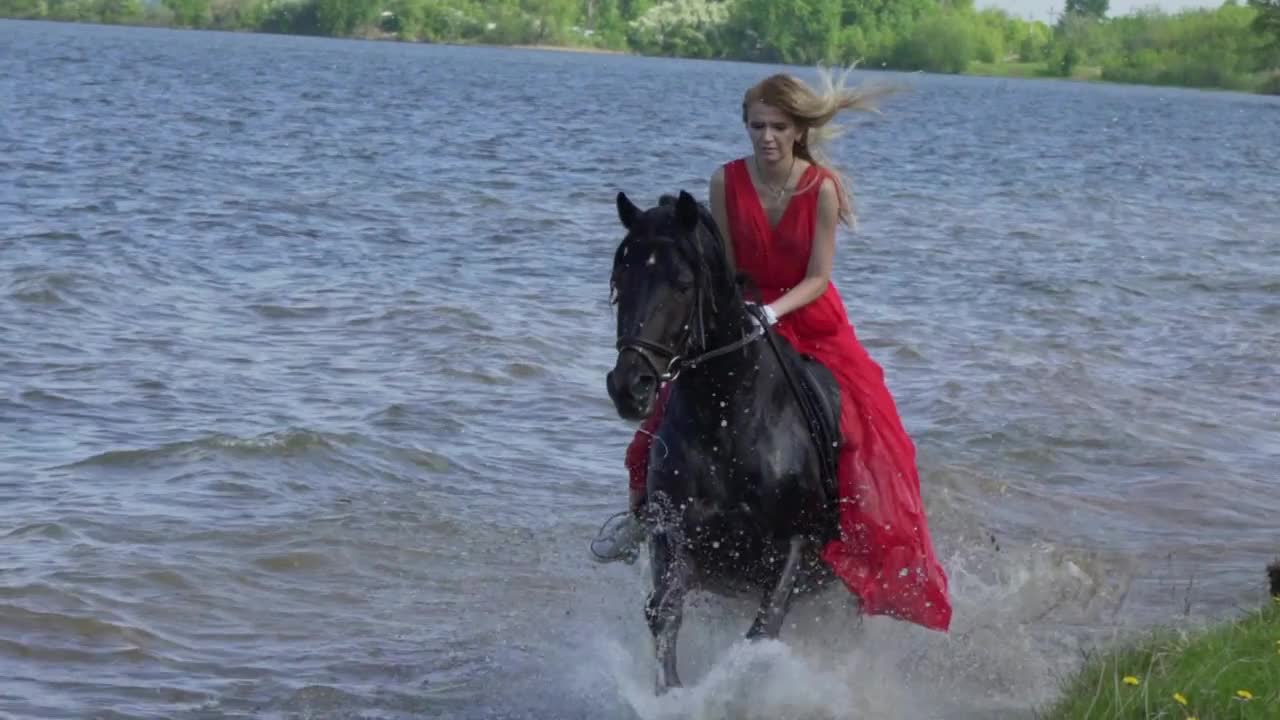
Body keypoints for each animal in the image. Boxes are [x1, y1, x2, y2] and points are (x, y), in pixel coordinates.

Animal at [609, 188, 849, 686]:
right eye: (620, 278)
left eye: (682, 283)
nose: (629, 387)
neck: (726, 420)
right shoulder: (676, 533)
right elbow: (664, 612)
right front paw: (672, 691)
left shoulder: (792, 544)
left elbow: (763, 632)